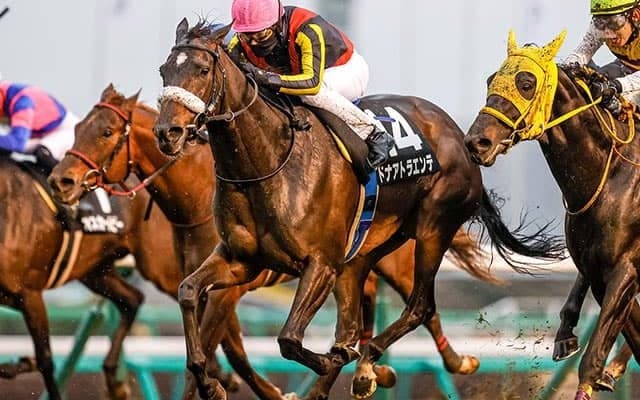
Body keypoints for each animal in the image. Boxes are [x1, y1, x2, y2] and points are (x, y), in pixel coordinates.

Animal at [0, 145, 181, 398]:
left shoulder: (30, 295)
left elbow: (46, 360)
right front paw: (20, 363)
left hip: (159, 268)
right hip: (95, 271)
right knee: (133, 299)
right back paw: (115, 382)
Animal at [48, 84, 504, 400]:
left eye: (107, 131)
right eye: (77, 128)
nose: (61, 180)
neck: (199, 194)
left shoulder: (232, 291)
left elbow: (223, 348)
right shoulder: (220, 277)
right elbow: (231, 349)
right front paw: (254, 386)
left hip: (408, 251)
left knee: (423, 307)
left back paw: (454, 360)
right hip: (358, 261)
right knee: (362, 313)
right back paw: (369, 368)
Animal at [152, 19, 565, 399]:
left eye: (202, 70)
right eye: (164, 71)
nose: (167, 133)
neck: (266, 163)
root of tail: (458, 135)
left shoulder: (320, 263)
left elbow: (289, 339)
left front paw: (331, 360)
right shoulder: (242, 260)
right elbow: (189, 293)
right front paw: (209, 382)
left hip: (432, 228)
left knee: (419, 307)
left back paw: (378, 363)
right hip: (365, 252)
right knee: (358, 321)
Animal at [464, 30, 640, 399]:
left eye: (526, 83)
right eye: (490, 80)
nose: (477, 142)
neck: (609, 174)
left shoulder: (626, 270)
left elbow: (593, 360)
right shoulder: (600, 273)